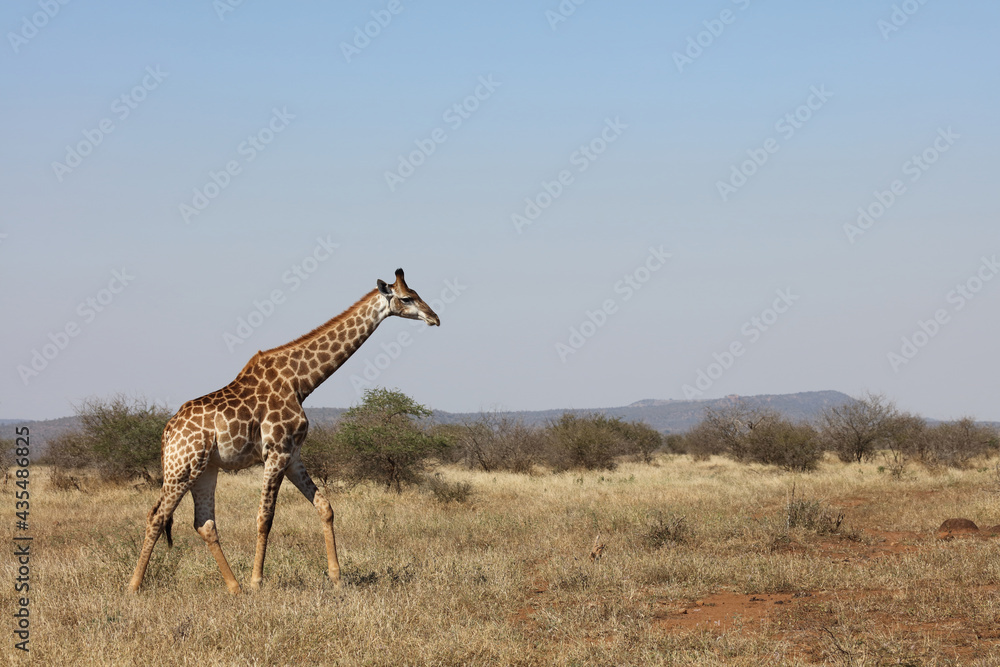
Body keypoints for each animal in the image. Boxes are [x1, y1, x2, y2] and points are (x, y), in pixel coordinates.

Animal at [128, 268, 440, 594]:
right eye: (407, 298)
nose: (434, 318)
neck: (301, 382)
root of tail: (167, 432)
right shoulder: (276, 452)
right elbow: (265, 517)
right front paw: (257, 581)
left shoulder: (293, 455)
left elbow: (325, 506)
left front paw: (336, 577)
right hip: (182, 467)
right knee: (157, 516)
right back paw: (134, 585)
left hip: (205, 469)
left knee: (204, 523)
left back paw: (233, 587)